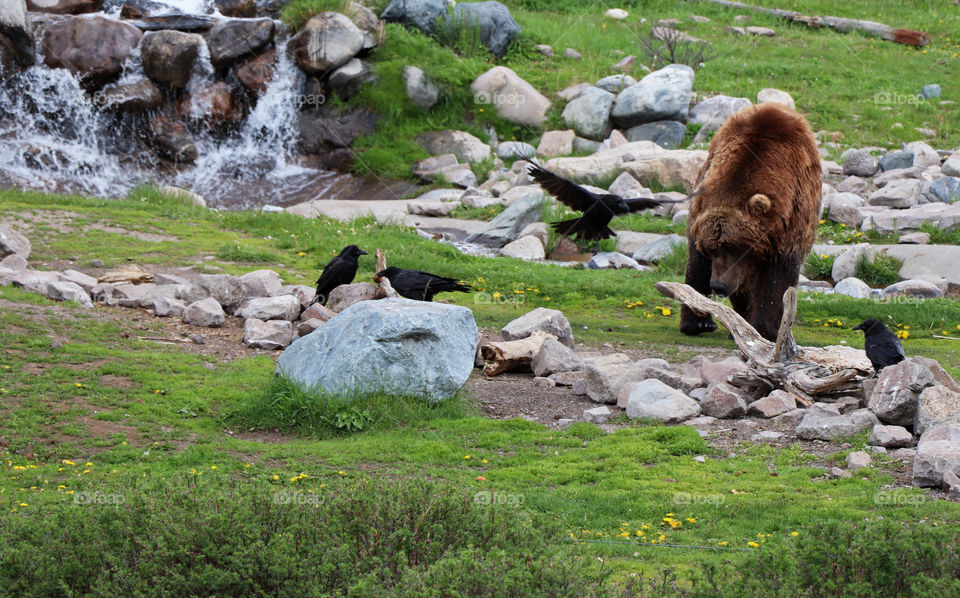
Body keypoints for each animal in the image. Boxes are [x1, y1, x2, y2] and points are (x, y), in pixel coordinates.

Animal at [680, 102, 821, 342]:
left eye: (733, 246)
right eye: (712, 248)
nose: (717, 285)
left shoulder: (787, 224)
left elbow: (777, 279)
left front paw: (767, 329)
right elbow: (697, 264)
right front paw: (697, 322)